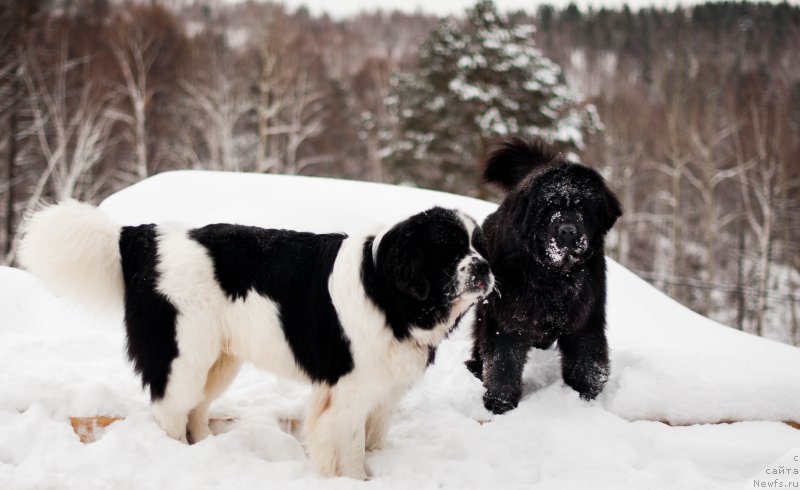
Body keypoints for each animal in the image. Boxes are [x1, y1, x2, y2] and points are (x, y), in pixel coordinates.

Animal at [20, 202, 494, 478]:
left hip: (218, 360)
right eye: (448, 249)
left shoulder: (384, 389)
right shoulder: (348, 392)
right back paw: (180, 459)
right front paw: (354, 480)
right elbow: (351, 448)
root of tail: (141, 236)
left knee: (196, 408)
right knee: (170, 410)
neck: (388, 291)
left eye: (478, 246)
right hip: (184, 356)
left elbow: (374, 438)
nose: (486, 268)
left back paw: (207, 448)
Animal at [466, 137, 620, 414]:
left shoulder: (586, 318)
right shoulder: (508, 315)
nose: (568, 231)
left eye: (584, 208)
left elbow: (586, 361)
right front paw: (499, 403)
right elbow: (503, 362)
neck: (554, 277)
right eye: (550, 207)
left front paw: (585, 397)